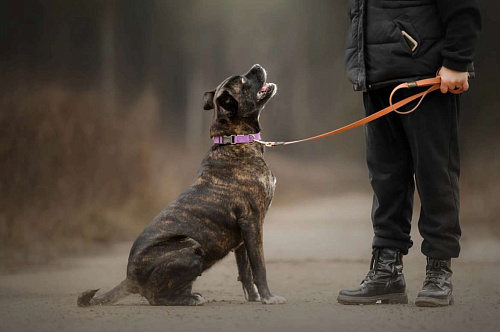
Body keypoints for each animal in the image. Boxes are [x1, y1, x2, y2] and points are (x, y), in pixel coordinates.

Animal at [76, 64, 284, 306]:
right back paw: (190, 299)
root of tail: (130, 279)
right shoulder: (252, 222)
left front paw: (253, 297)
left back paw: (191, 295)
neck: (236, 140)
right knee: (157, 298)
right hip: (190, 246)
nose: (257, 66)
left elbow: (245, 271)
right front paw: (268, 297)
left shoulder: (241, 236)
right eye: (243, 81)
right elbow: (259, 266)